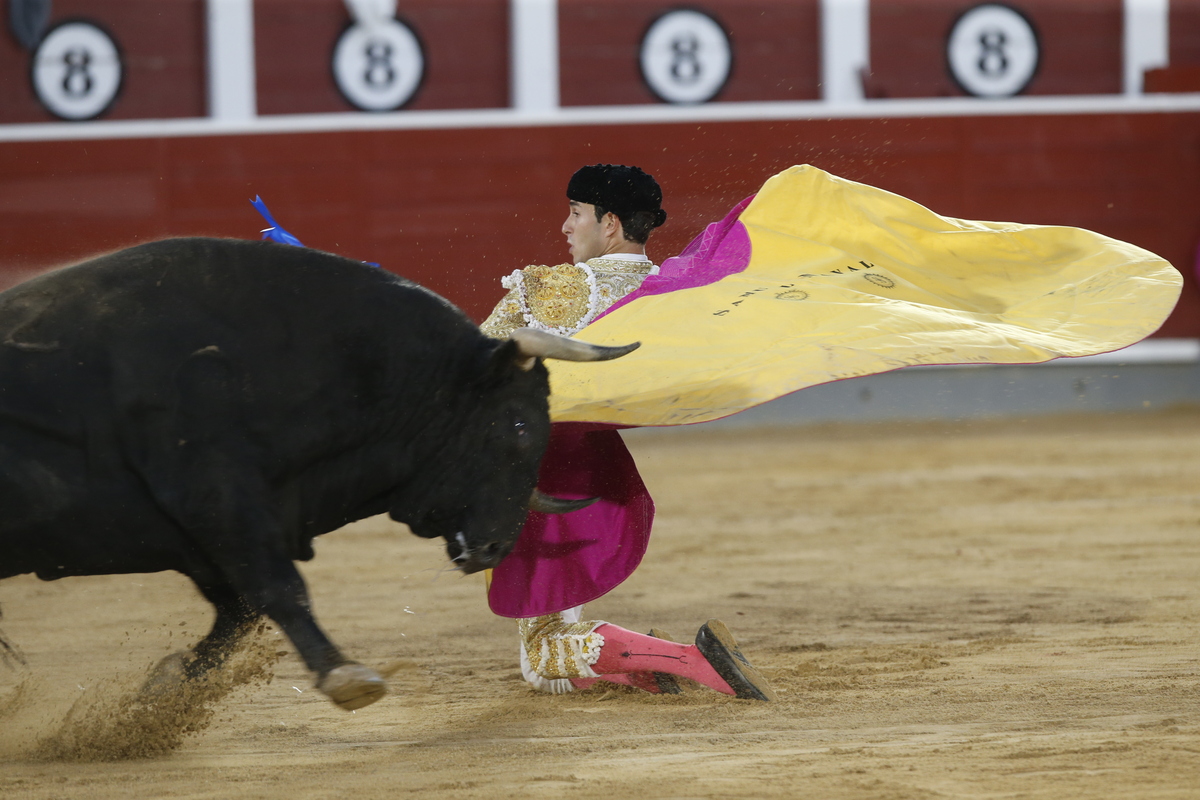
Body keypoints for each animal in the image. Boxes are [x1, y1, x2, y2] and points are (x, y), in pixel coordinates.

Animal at [0, 236, 638, 705]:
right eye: (521, 425)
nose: (496, 547)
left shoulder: (208, 540)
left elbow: (238, 614)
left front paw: (163, 688)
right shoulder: (217, 498)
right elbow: (279, 587)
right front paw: (345, 676)